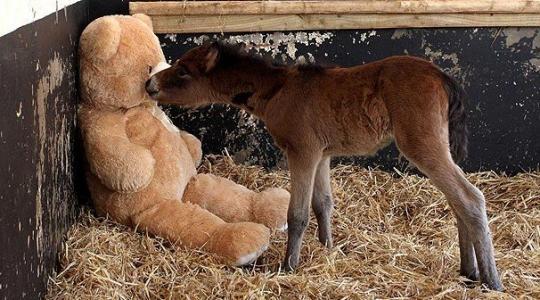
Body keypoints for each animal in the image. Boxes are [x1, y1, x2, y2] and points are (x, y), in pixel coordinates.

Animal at [147, 42, 502, 290]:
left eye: (183, 71)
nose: (150, 83)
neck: (277, 90)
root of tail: (443, 77)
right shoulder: (322, 154)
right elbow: (323, 203)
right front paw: (327, 249)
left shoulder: (302, 151)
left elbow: (298, 213)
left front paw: (288, 267)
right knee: (457, 201)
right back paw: (469, 272)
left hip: (422, 144)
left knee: (470, 198)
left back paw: (491, 281)